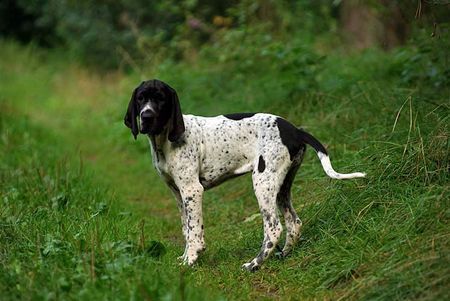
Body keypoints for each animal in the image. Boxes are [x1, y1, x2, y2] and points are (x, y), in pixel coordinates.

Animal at [124, 78, 366, 270]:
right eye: (140, 99)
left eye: (160, 99)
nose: (146, 116)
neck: (164, 140)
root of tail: (295, 130)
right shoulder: (177, 193)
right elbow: (186, 229)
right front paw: (185, 257)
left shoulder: (192, 191)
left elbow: (194, 232)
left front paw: (190, 260)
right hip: (281, 185)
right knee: (294, 222)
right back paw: (283, 255)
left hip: (263, 182)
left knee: (274, 228)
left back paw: (255, 264)